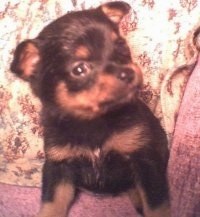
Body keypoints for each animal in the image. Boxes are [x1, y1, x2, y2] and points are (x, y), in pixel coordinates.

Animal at [10, 1, 170, 217]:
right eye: (79, 69)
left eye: (121, 45)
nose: (128, 73)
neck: (93, 122)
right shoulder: (58, 166)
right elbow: (52, 204)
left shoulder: (144, 160)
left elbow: (156, 205)